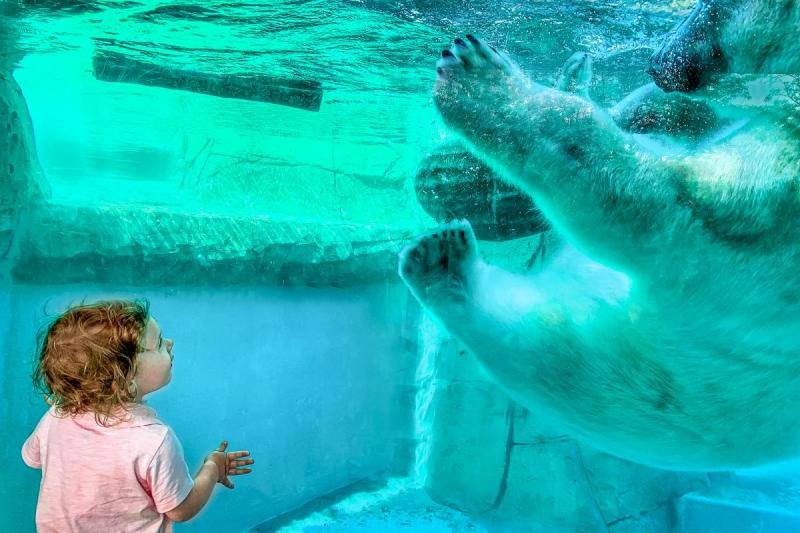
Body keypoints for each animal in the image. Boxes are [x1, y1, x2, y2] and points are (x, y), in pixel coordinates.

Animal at [398, 4, 800, 470]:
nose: (656, 60)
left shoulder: (767, 215)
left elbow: (658, 200)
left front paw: (476, 76)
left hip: (637, 372)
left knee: (528, 344)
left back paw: (439, 259)